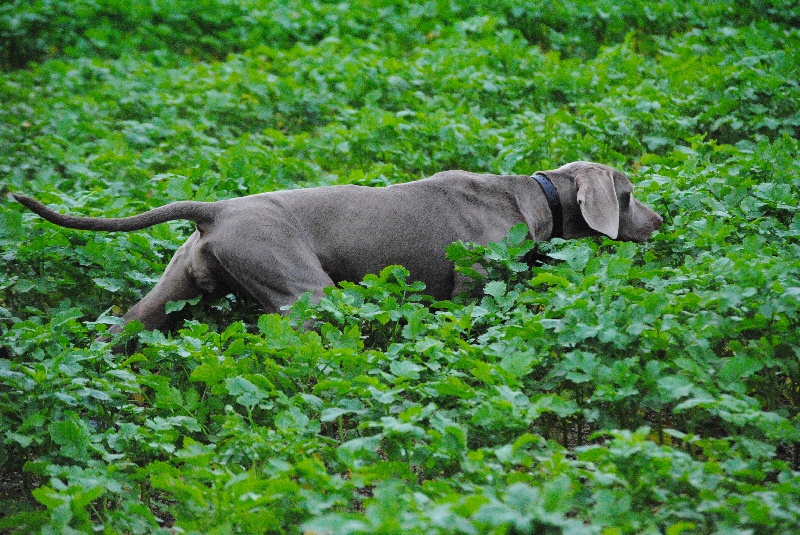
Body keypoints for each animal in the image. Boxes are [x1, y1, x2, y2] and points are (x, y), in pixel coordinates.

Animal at [12, 161, 664, 332]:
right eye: (628, 195)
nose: (661, 222)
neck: (536, 195)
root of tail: (215, 210)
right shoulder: (469, 286)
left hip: (170, 292)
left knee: (121, 327)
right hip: (304, 290)